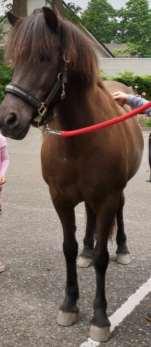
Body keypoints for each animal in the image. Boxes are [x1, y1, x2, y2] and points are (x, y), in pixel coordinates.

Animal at [0, 7, 144, 342]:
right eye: (13, 59)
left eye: (44, 58)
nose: (8, 120)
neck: (79, 139)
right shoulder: (60, 199)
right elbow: (68, 248)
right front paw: (69, 304)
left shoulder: (107, 197)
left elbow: (103, 257)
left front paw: (100, 318)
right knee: (89, 220)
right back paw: (87, 251)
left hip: (117, 194)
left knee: (120, 213)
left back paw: (122, 248)